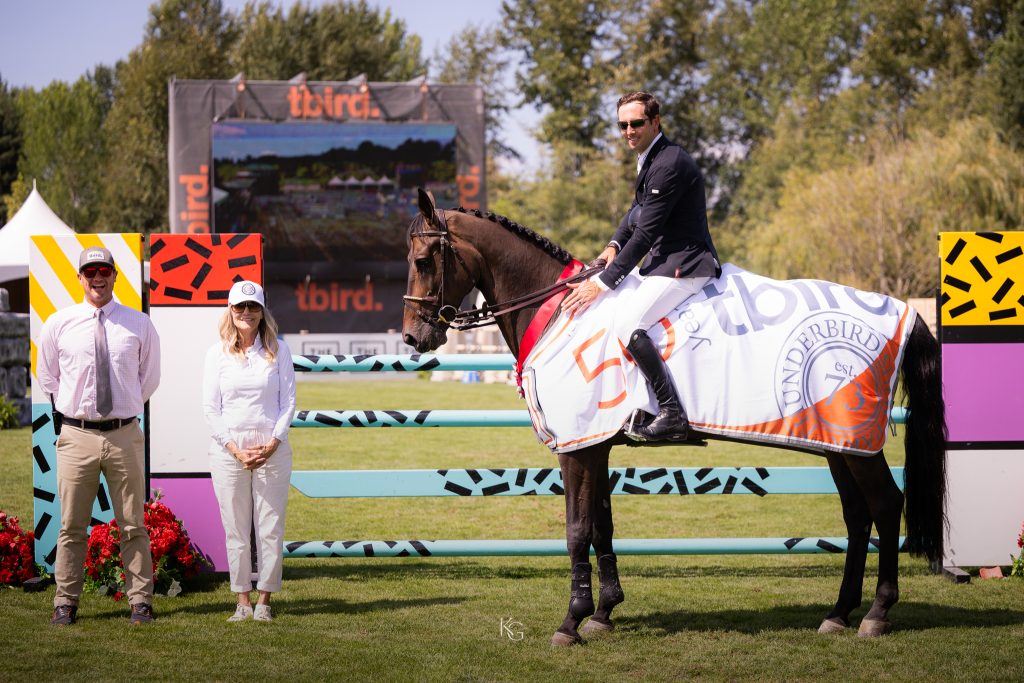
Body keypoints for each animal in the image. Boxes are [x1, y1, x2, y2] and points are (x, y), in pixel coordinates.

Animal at [401, 189, 946, 646]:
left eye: (423, 261)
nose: (413, 337)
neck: (558, 309)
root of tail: (904, 311)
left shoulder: (578, 447)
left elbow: (577, 529)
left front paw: (571, 622)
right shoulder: (597, 445)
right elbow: (602, 525)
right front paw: (603, 613)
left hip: (857, 442)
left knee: (884, 505)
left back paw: (876, 614)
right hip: (836, 442)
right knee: (857, 516)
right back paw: (838, 614)